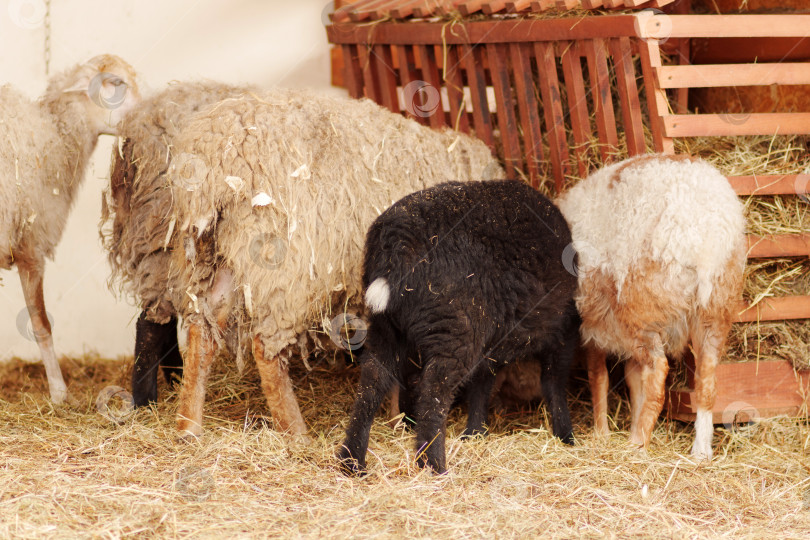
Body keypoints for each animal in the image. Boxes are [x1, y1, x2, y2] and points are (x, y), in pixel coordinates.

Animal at [164, 90, 503, 438]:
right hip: (280, 265)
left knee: (202, 331)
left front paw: (394, 419)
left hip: (209, 259)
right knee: (265, 347)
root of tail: (212, 158)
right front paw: (397, 418)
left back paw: (189, 425)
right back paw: (296, 432)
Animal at [337, 180, 580, 475]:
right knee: (433, 394)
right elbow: (554, 382)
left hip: (387, 328)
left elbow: (481, 384)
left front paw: (474, 433)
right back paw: (433, 465)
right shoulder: (562, 330)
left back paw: (352, 462)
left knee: (371, 383)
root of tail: (396, 246)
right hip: (455, 329)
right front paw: (566, 436)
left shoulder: (492, 340)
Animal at [556, 154, 746, 460]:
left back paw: (637, 444)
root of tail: (705, 235)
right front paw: (629, 424)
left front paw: (602, 433)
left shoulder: (593, 325)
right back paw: (700, 450)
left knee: (658, 373)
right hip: (716, 307)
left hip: (641, 309)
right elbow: (634, 381)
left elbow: (599, 378)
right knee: (706, 381)